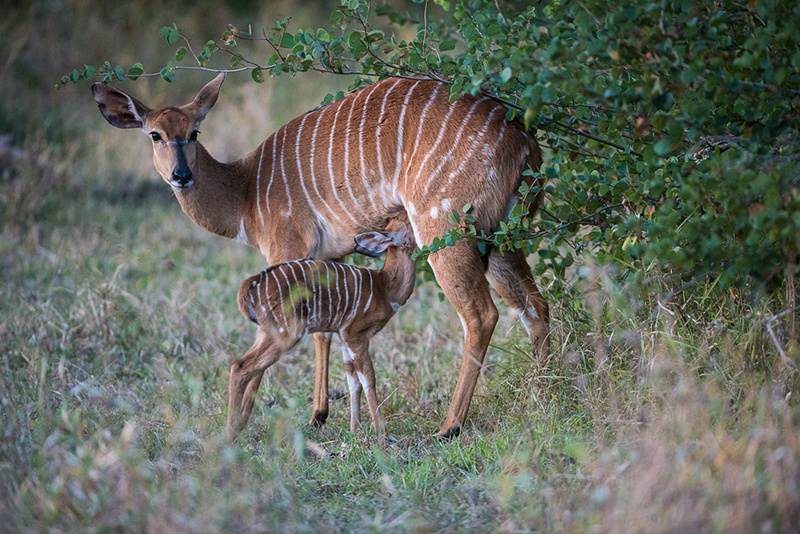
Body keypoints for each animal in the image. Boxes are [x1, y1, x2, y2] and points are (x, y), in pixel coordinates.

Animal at [228, 216, 416, 442]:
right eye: (409, 222)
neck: (385, 288)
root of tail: (251, 285)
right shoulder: (355, 333)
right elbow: (368, 378)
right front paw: (381, 434)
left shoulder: (343, 336)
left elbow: (352, 379)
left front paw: (354, 429)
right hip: (287, 332)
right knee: (241, 367)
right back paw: (230, 433)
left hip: (266, 332)